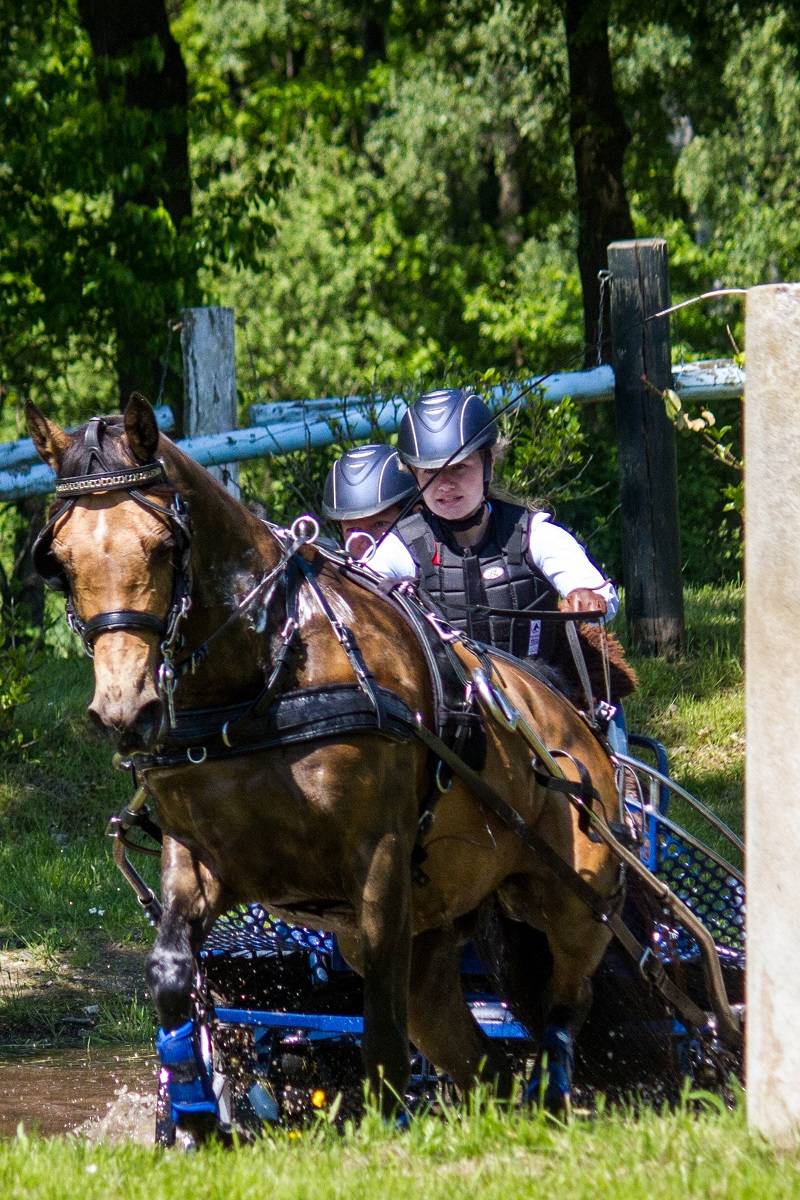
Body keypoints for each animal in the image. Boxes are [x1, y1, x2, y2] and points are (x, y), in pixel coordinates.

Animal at [27, 393, 621, 1133]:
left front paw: (385, 1120)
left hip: (573, 895)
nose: (123, 708)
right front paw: (195, 1113)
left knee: (567, 1000)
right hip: (443, 928)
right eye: (61, 560)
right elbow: (170, 973)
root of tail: (576, 723)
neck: (266, 677)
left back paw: (557, 1088)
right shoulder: (202, 857)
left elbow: (379, 1020)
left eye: (165, 546)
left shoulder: (381, 863)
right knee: (468, 1043)